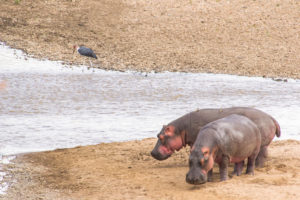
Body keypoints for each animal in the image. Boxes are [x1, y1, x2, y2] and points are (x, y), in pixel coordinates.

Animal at [151, 106, 280, 167]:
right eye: (157, 135)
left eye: (160, 137)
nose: (152, 152)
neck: (181, 129)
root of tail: (270, 117)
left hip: (261, 144)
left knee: (261, 155)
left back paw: (257, 166)